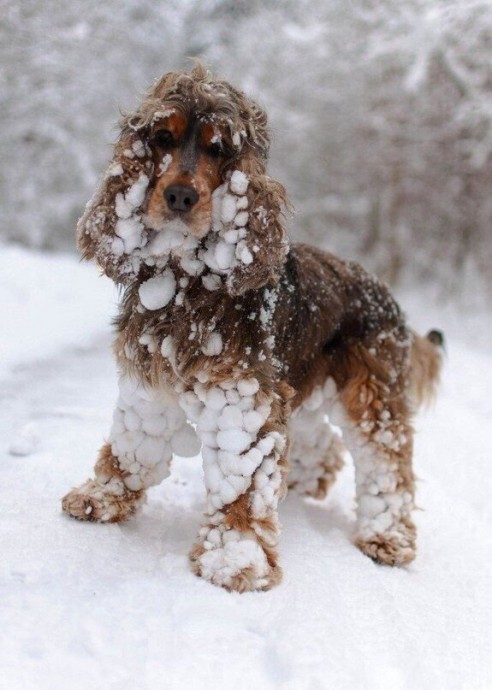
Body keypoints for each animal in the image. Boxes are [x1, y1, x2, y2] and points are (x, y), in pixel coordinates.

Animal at [61, 66, 442, 592]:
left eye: (219, 148)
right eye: (162, 138)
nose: (180, 196)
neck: (188, 281)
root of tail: (388, 296)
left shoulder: (243, 399)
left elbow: (242, 483)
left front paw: (234, 560)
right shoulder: (149, 382)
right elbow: (132, 444)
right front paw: (102, 496)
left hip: (372, 394)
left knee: (389, 463)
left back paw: (387, 537)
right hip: (301, 379)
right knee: (322, 440)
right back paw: (305, 482)